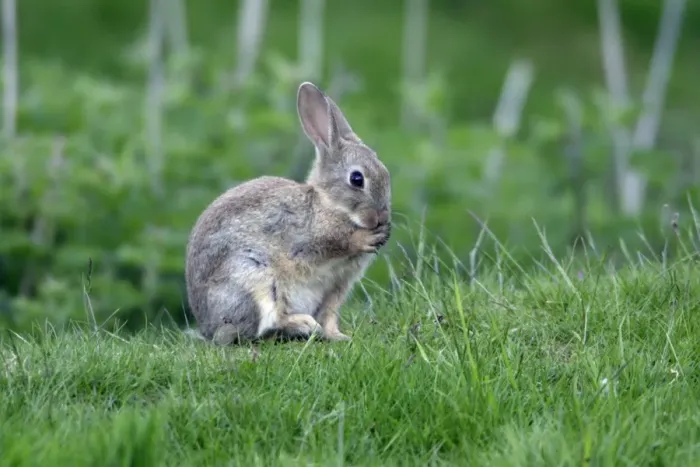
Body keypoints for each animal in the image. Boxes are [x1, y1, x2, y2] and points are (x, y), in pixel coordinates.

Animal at [184, 81, 391, 345]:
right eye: (357, 179)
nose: (381, 218)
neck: (329, 204)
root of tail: (209, 330)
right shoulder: (304, 238)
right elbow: (329, 244)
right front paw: (365, 238)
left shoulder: (337, 287)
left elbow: (330, 316)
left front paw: (338, 336)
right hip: (253, 278)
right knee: (263, 327)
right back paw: (302, 324)